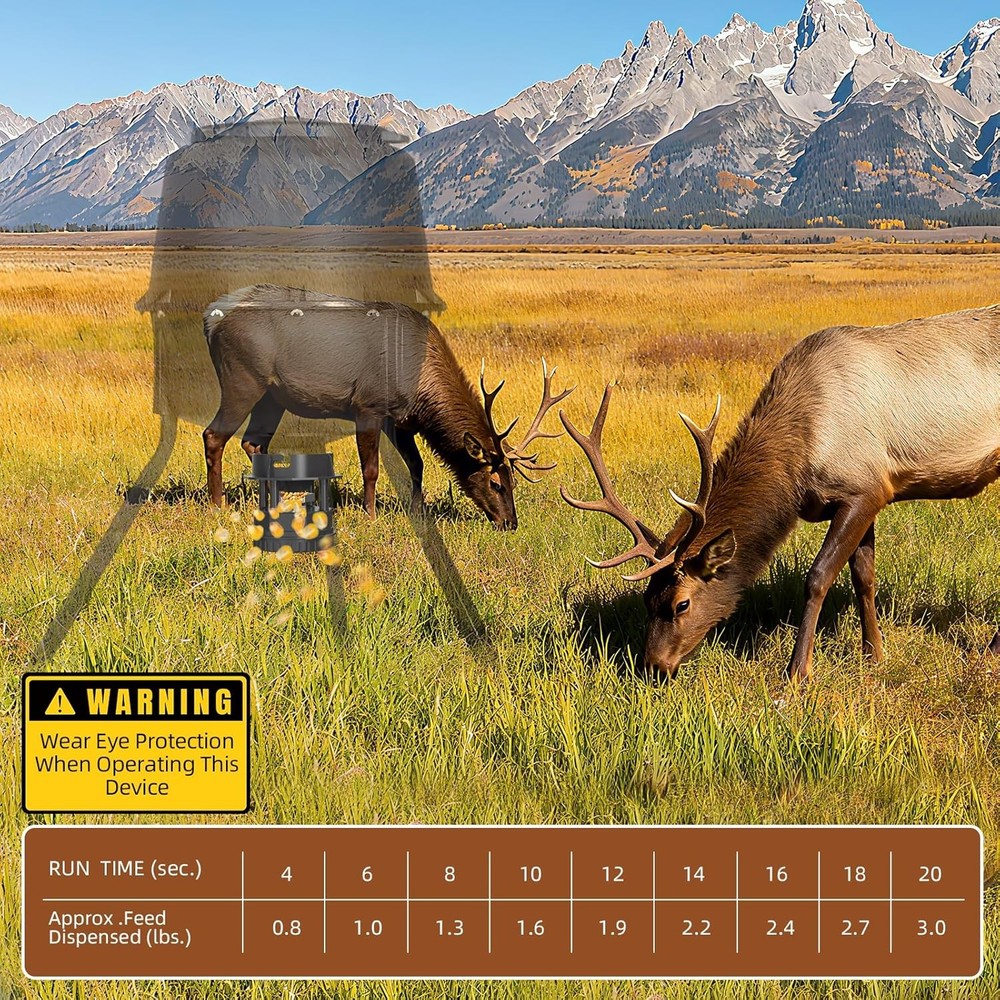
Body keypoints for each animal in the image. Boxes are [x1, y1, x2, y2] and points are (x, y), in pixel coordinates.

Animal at [202, 284, 572, 526]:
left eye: (514, 482)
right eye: (496, 483)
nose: (511, 523)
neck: (420, 389)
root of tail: (211, 318)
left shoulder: (403, 421)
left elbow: (417, 465)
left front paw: (418, 511)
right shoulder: (368, 406)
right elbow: (372, 468)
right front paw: (371, 514)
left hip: (271, 396)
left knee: (254, 442)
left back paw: (272, 502)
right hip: (242, 378)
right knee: (213, 435)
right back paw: (217, 505)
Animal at [560, 305, 1000, 682]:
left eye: (681, 603)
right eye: (646, 600)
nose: (652, 667)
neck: (800, 457)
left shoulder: (864, 488)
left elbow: (818, 577)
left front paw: (797, 671)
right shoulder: (869, 491)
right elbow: (864, 578)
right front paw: (874, 654)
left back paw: (989, 650)